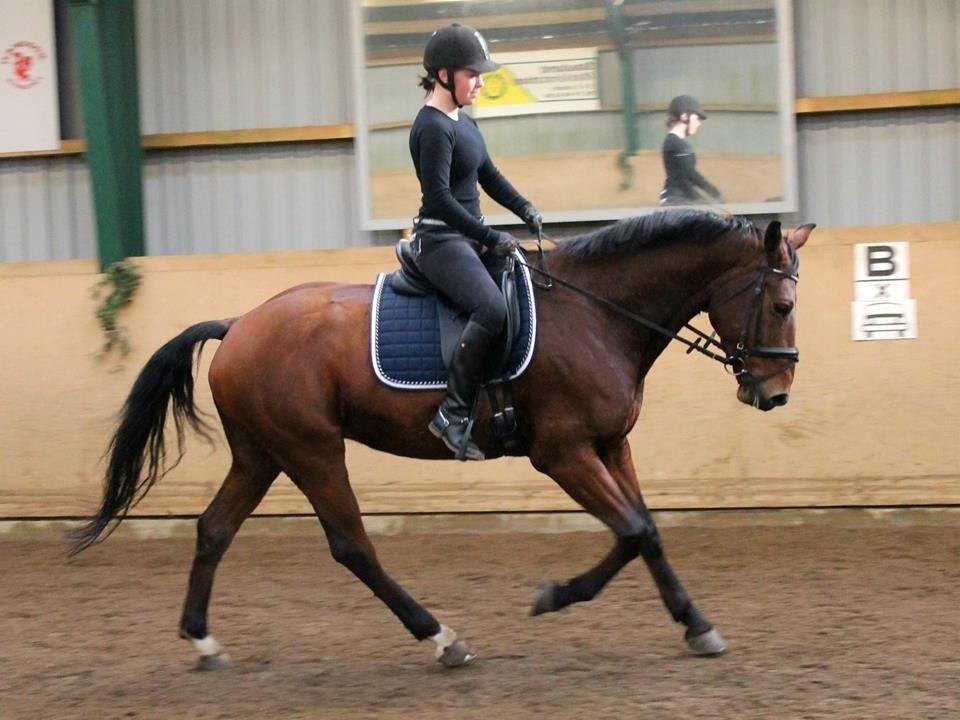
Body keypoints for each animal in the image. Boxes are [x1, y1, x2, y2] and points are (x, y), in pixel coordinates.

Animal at [71, 208, 812, 668]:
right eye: (781, 305)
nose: (774, 393)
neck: (598, 316)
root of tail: (238, 324)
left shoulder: (610, 446)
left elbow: (649, 532)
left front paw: (697, 626)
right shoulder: (563, 454)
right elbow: (630, 531)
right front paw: (555, 597)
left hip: (262, 455)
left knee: (213, 530)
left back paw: (203, 643)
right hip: (312, 451)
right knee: (352, 546)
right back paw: (442, 637)